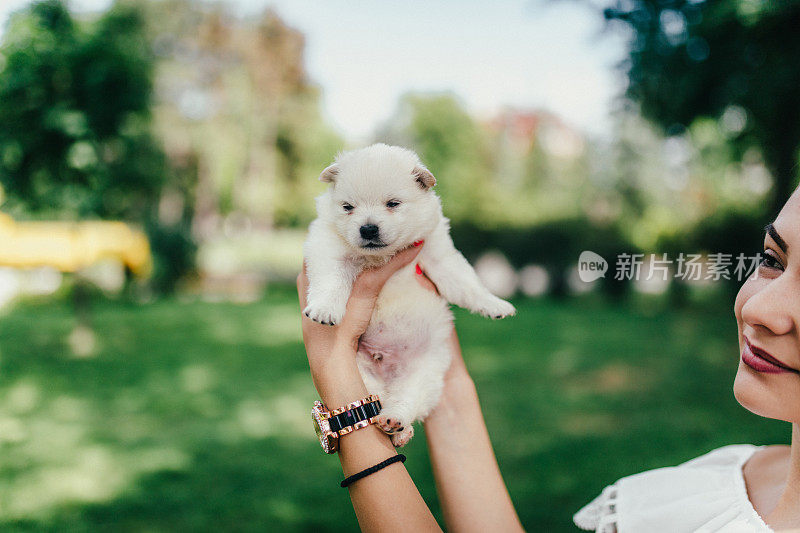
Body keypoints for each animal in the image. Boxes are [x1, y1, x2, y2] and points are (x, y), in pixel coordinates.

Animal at [304, 143, 516, 446]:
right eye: (347, 207)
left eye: (393, 203)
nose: (367, 228)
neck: (382, 256)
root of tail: (388, 373)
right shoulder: (328, 248)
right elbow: (330, 280)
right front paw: (325, 309)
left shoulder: (438, 255)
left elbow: (467, 282)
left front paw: (495, 304)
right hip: (361, 372)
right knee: (377, 399)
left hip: (426, 372)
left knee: (408, 400)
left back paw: (398, 425)